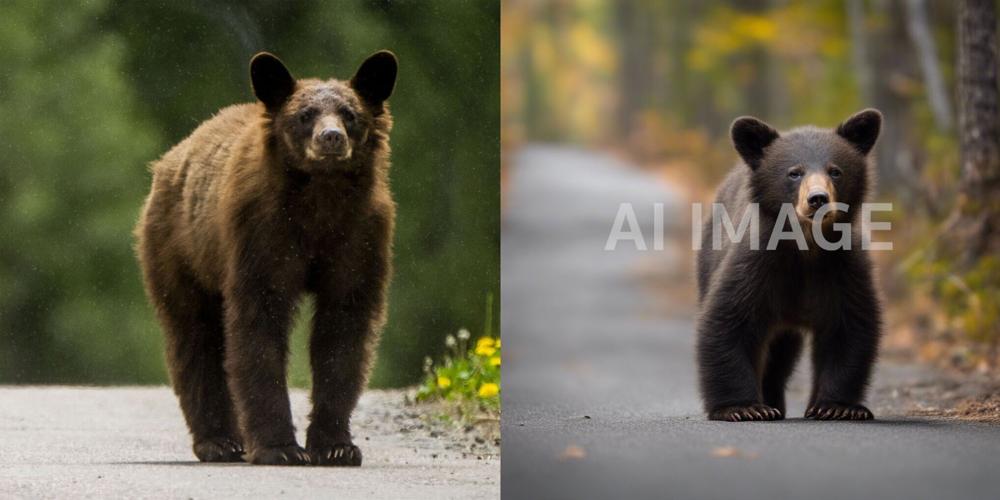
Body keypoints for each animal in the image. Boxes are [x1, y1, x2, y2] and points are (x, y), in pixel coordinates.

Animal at [135, 50, 397, 465]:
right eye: (304, 115)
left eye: (350, 114)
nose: (331, 138)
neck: (319, 201)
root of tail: (170, 159)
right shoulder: (261, 234)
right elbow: (259, 327)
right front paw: (281, 448)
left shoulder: (360, 236)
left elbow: (344, 331)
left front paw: (337, 446)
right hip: (180, 251)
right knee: (194, 336)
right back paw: (219, 441)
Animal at [696, 109, 883, 422]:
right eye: (794, 172)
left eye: (835, 171)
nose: (817, 199)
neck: (805, 246)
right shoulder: (757, 265)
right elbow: (728, 320)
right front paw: (744, 408)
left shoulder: (843, 268)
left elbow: (850, 327)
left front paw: (836, 406)